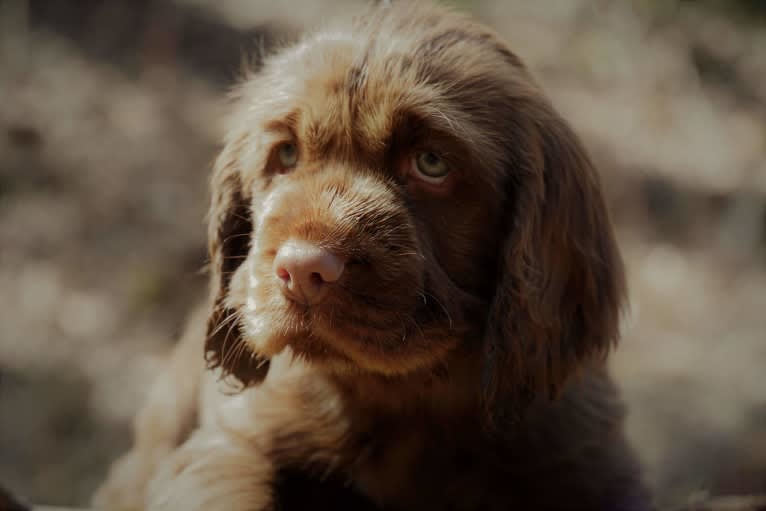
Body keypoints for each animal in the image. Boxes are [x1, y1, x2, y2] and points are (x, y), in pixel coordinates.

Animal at [91, 4, 656, 511]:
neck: (407, 396)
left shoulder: (588, 463)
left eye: (431, 162)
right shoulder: (231, 443)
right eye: (286, 154)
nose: (302, 270)